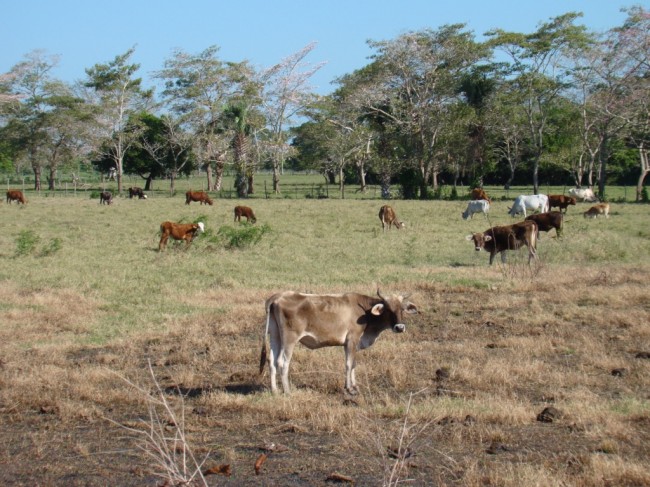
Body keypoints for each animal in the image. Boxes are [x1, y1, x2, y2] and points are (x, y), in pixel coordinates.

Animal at [258, 292, 416, 394]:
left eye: (402, 309)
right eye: (388, 309)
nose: (400, 327)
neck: (365, 312)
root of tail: (278, 296)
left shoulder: (351, 344)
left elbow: (353, 364)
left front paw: (354, 386)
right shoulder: (352, 339)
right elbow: (348, 364)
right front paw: (349, 389)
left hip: (275, 335)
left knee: (271, 360)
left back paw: (275, 390)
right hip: (289, 339)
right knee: (282, 362)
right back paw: (287, 391)